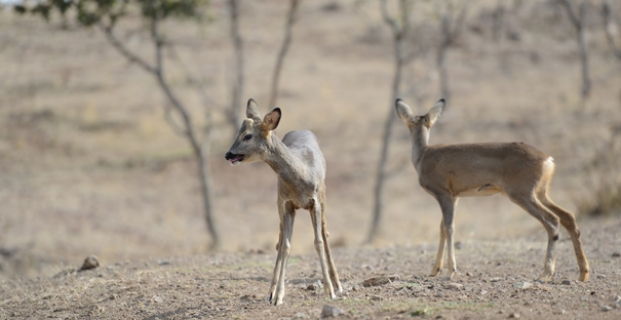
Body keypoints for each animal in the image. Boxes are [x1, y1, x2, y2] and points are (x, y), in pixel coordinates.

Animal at [224, 99, 342, 304]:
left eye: (247, 136)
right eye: (238, 133)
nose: (228, 154)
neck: (301, 176)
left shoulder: (315, 202)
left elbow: (318, 241)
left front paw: (329, 291)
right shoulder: (285, 204)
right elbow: (286, 246)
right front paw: (277, 295)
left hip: (324, 196)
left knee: (325, 233)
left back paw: (338, 284)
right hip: (279, 204)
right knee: (279, 240)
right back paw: (270, 291)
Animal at [394, 98, 588, 282]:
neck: (423, 156)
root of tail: (548, 160)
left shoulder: (444, 195)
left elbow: (449, 228)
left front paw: (450, 272)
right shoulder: (455, 197)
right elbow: (442, 227)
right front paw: (434, 270)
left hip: (522, 195)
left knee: (552, 220)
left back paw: (545, 274)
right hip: (541, 193)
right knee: (568, 217)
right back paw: (583, 274)